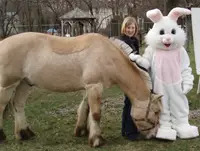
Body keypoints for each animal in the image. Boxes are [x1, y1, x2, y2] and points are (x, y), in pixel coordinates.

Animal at [0, 32, 162, 147]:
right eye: (156, 112)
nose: (153, 136)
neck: (107, 56)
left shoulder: (89, 88)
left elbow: (85, 108)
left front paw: (82, 130)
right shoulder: (94, 86)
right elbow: (96, 114)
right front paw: (97, 140)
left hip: (24, 83)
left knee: (18, 105)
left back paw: (24, 133)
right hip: (8, 85)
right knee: (2, 107)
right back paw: (3, 136)